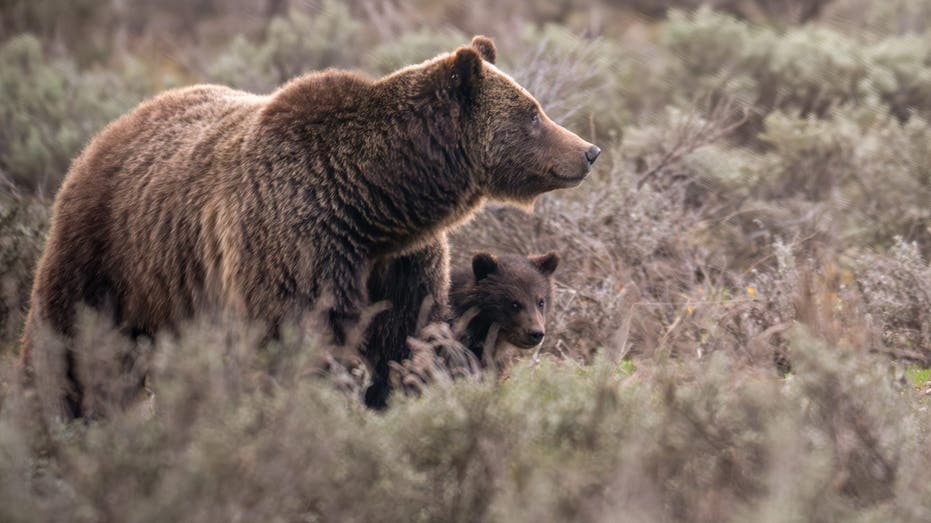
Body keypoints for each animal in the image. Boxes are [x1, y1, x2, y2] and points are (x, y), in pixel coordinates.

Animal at [23, 34, 604, 416]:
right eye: (533, 112)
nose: (589, 150)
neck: (376, 203)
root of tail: (113, 128)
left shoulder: (400, 264)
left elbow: (401, 342)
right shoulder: (297, 242)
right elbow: (300, 338)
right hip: (109, 250)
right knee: (69, 340)